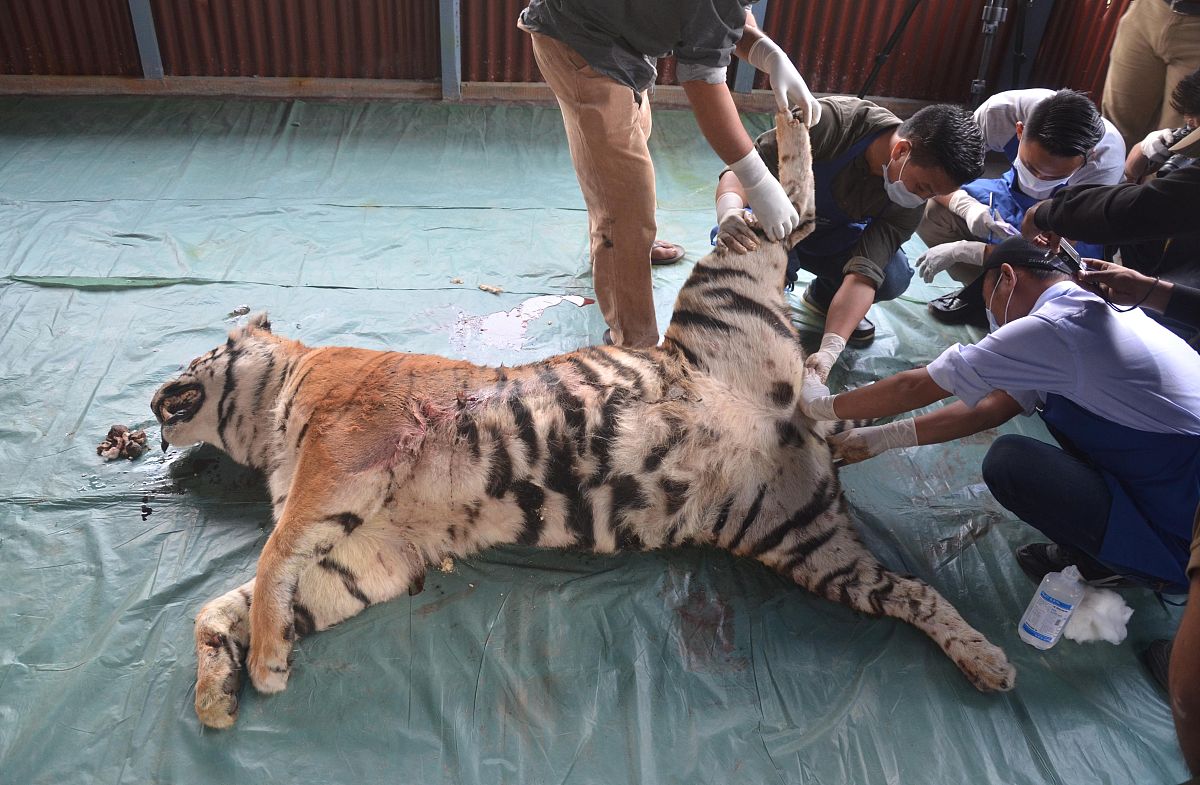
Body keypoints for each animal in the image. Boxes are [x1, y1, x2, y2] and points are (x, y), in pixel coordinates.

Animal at [151, 111, 1015, 730]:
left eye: (198, 354)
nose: (154, 398)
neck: (269, 417)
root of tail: (803, 417)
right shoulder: (378, 551)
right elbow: (226, 600)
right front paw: (219, 687)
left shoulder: (343, 455)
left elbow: (272, 553)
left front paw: (264, 660)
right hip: (807, 541)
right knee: (912, 591)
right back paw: (989, 661)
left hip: (729, 275)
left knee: (787, 204)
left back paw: (787, 92)